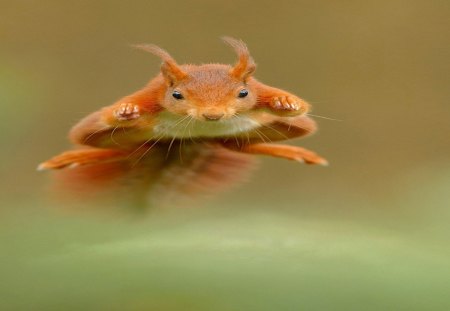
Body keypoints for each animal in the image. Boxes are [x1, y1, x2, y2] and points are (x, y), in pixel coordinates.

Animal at [38, 36, 326, 206]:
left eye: (243, 93)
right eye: (177, 95)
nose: (213, 115)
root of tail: (186, 143)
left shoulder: (259, 89)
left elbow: (297, 107)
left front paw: (286, 102)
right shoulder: (152, 94)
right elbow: (117, 111)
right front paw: (126, 110)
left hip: (246, 133)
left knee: (243, 146)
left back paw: (297, 153)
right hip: (117, 134)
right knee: (114, 147)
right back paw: (71, 158)